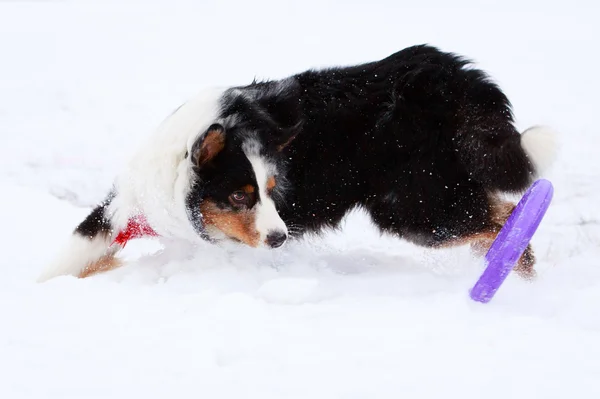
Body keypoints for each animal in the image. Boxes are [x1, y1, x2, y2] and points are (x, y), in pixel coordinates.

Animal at [39, 43, 556, 282]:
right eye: (239, 196)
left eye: (272, 191)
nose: (280, 239)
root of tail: (447, 73)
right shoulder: (122, 207)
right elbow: (72, 254)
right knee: (495, 213)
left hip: (414, 205)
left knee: (505, 215)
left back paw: (516, 277)